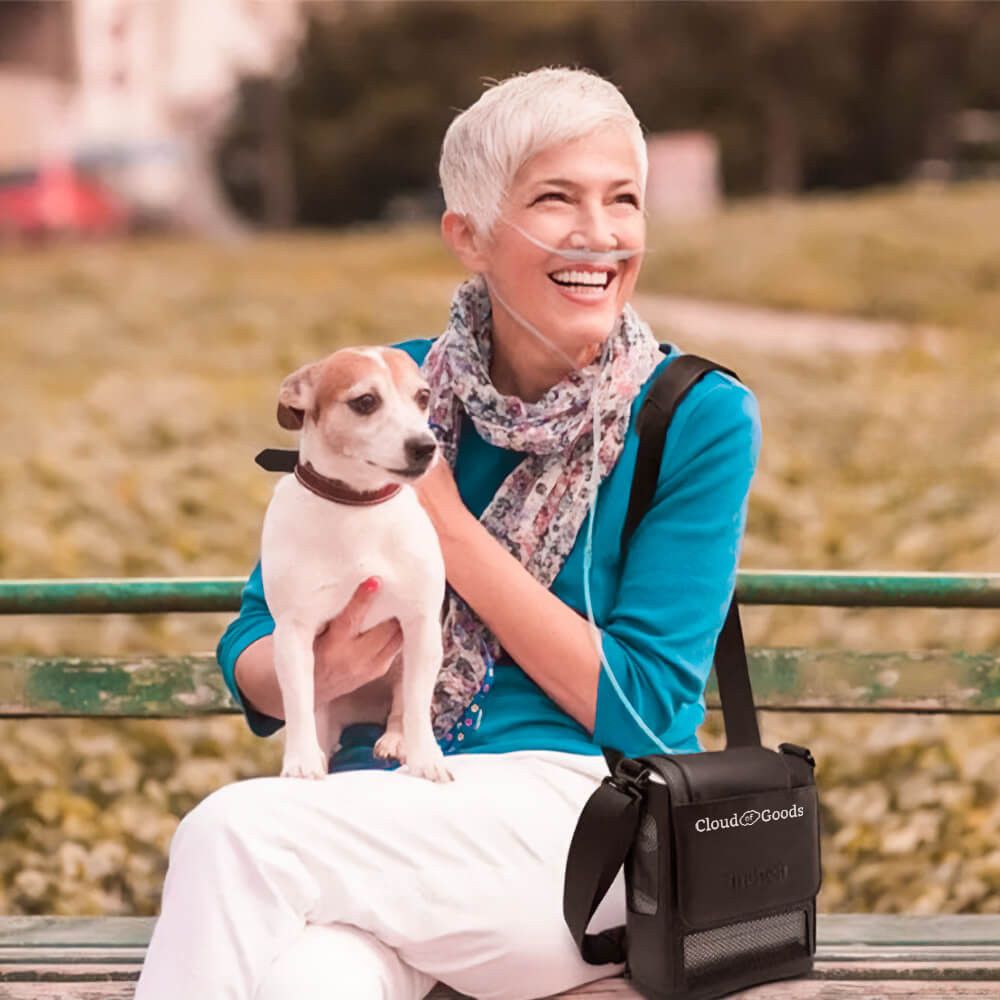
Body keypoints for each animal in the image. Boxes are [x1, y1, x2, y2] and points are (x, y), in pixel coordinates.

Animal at [262, 348, 458, 784]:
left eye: (423, 396)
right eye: (365, 401)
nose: (425, 446)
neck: (357, 504)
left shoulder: (421, 626)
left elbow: (417, 704)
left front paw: (426, 758)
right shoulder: (293, 633)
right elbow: (297, 703)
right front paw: (301, 761)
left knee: (401, 705)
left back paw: (395, 740)